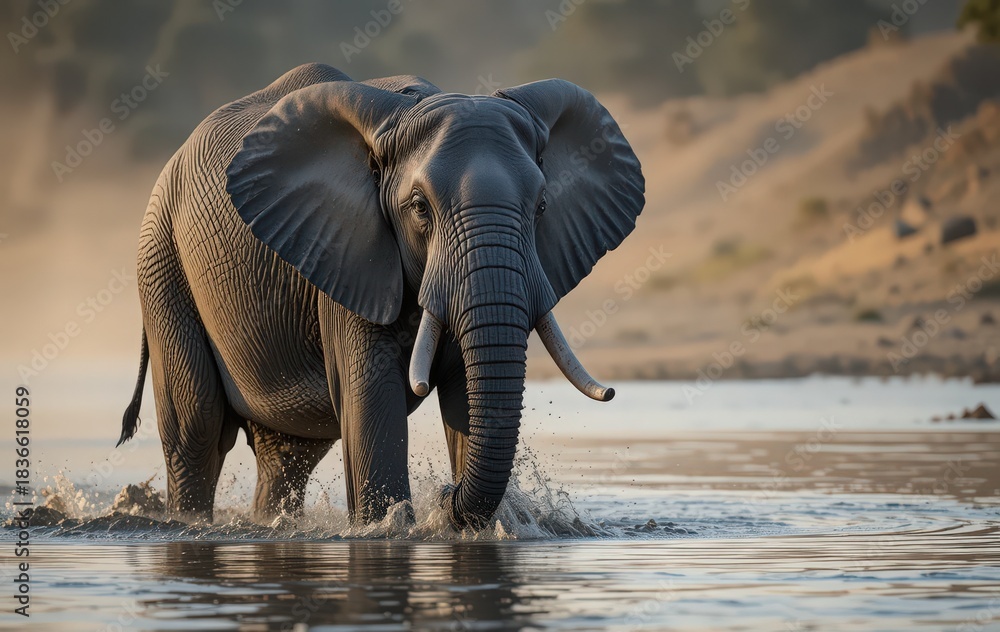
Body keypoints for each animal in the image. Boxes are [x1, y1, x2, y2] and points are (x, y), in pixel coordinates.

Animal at [118, 63, 644, 530]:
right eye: (420, 208)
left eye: (541, 207)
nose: (445, 495)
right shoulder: (344, 253)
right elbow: (372, 398)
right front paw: (387, 527)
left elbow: (463, 395)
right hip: (161, 261)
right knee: (197, 428)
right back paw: (187, 520)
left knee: (287, 454)